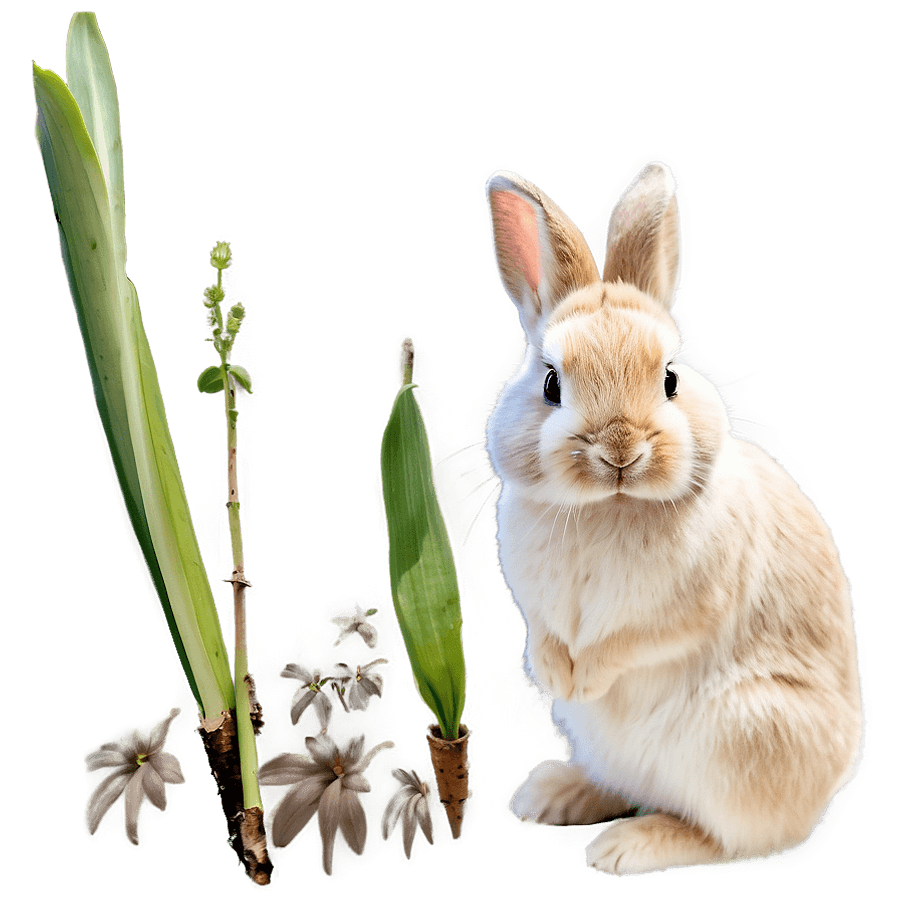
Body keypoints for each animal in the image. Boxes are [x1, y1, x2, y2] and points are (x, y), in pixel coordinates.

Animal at [480, 159, 866, 876]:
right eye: (550, 383)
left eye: (670, 379)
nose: (620, 450)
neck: (608, 507)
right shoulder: (533, 603)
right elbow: (545, 632)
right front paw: (553, 674)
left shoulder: (686, 607)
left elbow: (632, 641)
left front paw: (586, 677)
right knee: (626, 787)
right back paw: (548, 795)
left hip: (741, 737)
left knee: (720, 836)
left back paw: (625, 848)